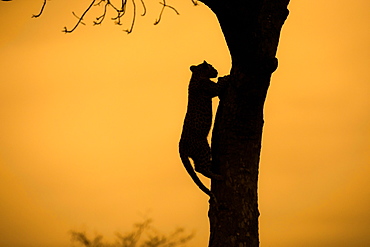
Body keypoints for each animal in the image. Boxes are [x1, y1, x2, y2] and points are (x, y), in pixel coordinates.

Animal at [179, 60, 228, 198]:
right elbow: (219, 86)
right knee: (200, 168)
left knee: (198, 167)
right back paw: (218, 176)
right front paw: (226, 77)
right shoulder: (213, 89)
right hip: (203, 148)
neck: (196, 74)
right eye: (212, 67)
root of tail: (181, 147)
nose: (217, 71)